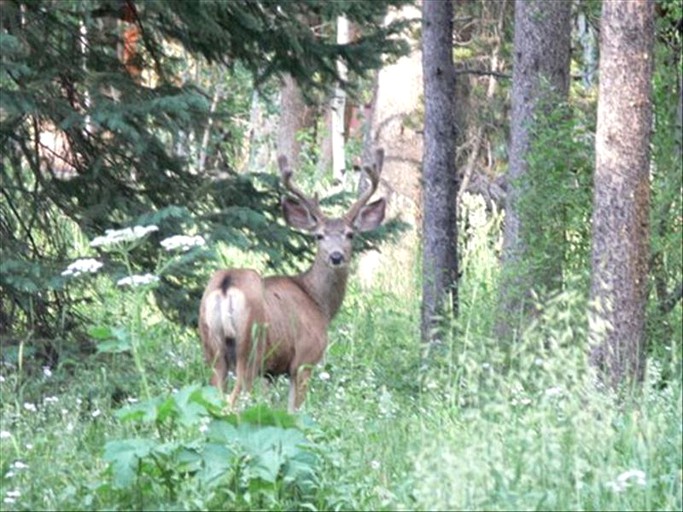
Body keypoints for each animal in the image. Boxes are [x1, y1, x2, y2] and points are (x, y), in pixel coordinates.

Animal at [200, 149, 388, 412]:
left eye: (350, 234)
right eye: (319, 236)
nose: (336, 256)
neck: (318, 302)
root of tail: (227, 283)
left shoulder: (270, 371)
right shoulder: (304, 359)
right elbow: (295, 411)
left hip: (213, 349)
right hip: (249, 348)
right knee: (234, 400)